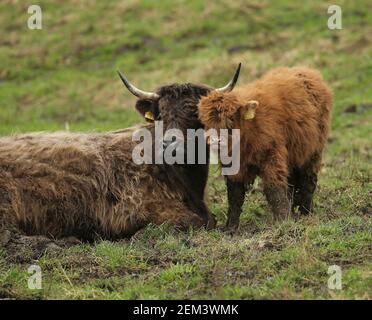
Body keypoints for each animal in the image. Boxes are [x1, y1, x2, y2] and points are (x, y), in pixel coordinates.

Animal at [199, 67, 332, 232]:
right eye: (206, 121)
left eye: (230, 118)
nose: (215, 141)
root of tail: (308, 71)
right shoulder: (232, 168)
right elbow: (235, 195)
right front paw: (231, 227)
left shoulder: (272, 157)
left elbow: (274, 189)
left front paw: (283, 221)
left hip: (313, 151)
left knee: (308, 180)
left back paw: (305, 212)